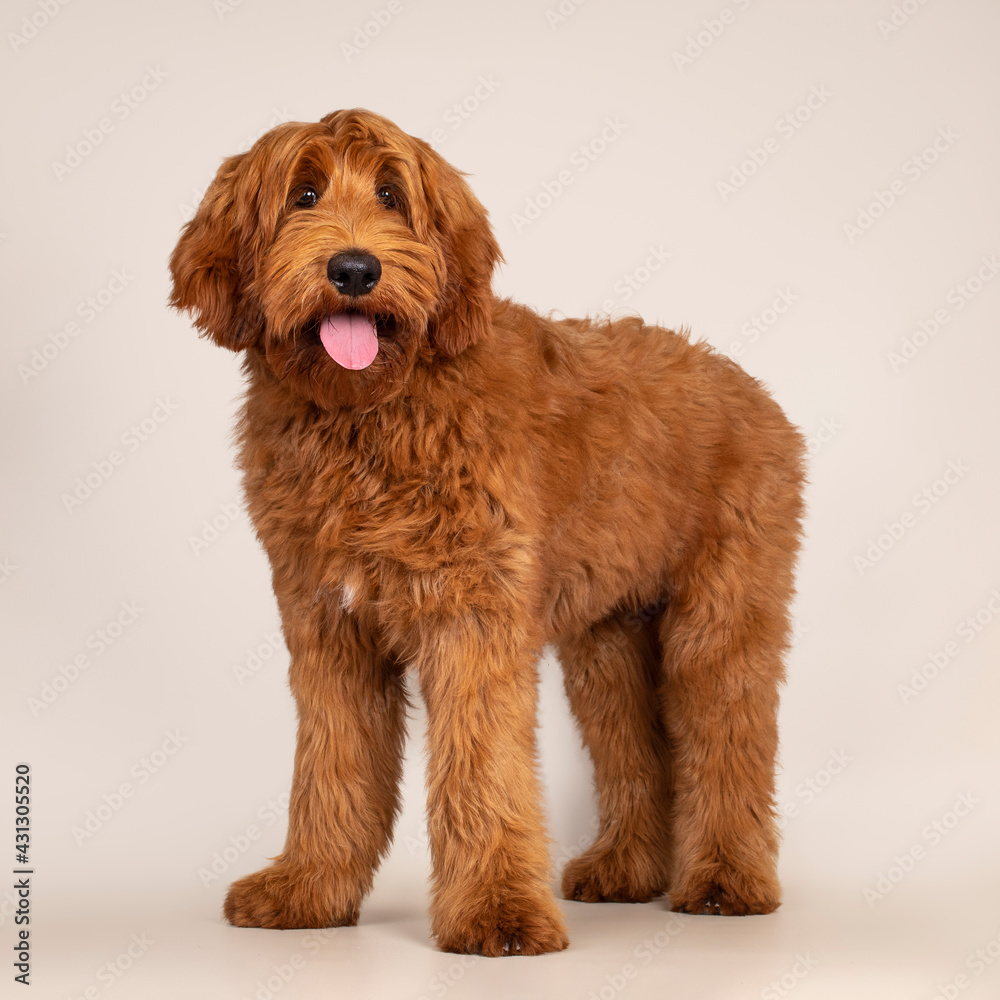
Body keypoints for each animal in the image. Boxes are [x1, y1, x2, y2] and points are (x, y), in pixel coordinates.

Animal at [170, 105, 804, 956]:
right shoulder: (330, 626)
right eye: (303, 194)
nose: (354, 270)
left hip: (719, 617)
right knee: (635, 746)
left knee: (726, 736)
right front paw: (308, 890)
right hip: (608, 641)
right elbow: (332, 766)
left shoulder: (473, 615)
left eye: (391, 194)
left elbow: (482, 766)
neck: (371, 415)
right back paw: (626, 868)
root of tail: (750, 385)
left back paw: (726, 881)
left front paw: (498, 912)